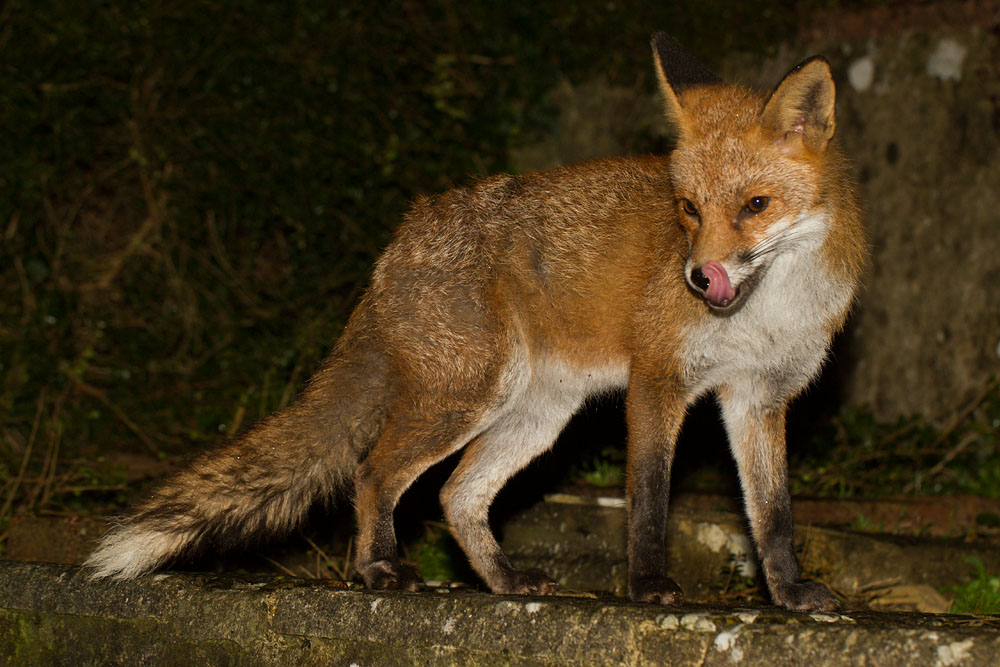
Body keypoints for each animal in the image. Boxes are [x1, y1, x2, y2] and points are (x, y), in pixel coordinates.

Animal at [86, 32, 865, 612]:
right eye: (688, 210)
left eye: (756, 205)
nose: (699, 279)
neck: (768, 311)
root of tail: (396, 244)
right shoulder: (659, 379)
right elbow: (649, 498)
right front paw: (647, 586)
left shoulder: (758, 397)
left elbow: (773, 513)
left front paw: (790, 593)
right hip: (468, 395)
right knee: (374, 472)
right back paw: (380, 570)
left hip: (537, 413)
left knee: (456, 494)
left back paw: (502, 581)